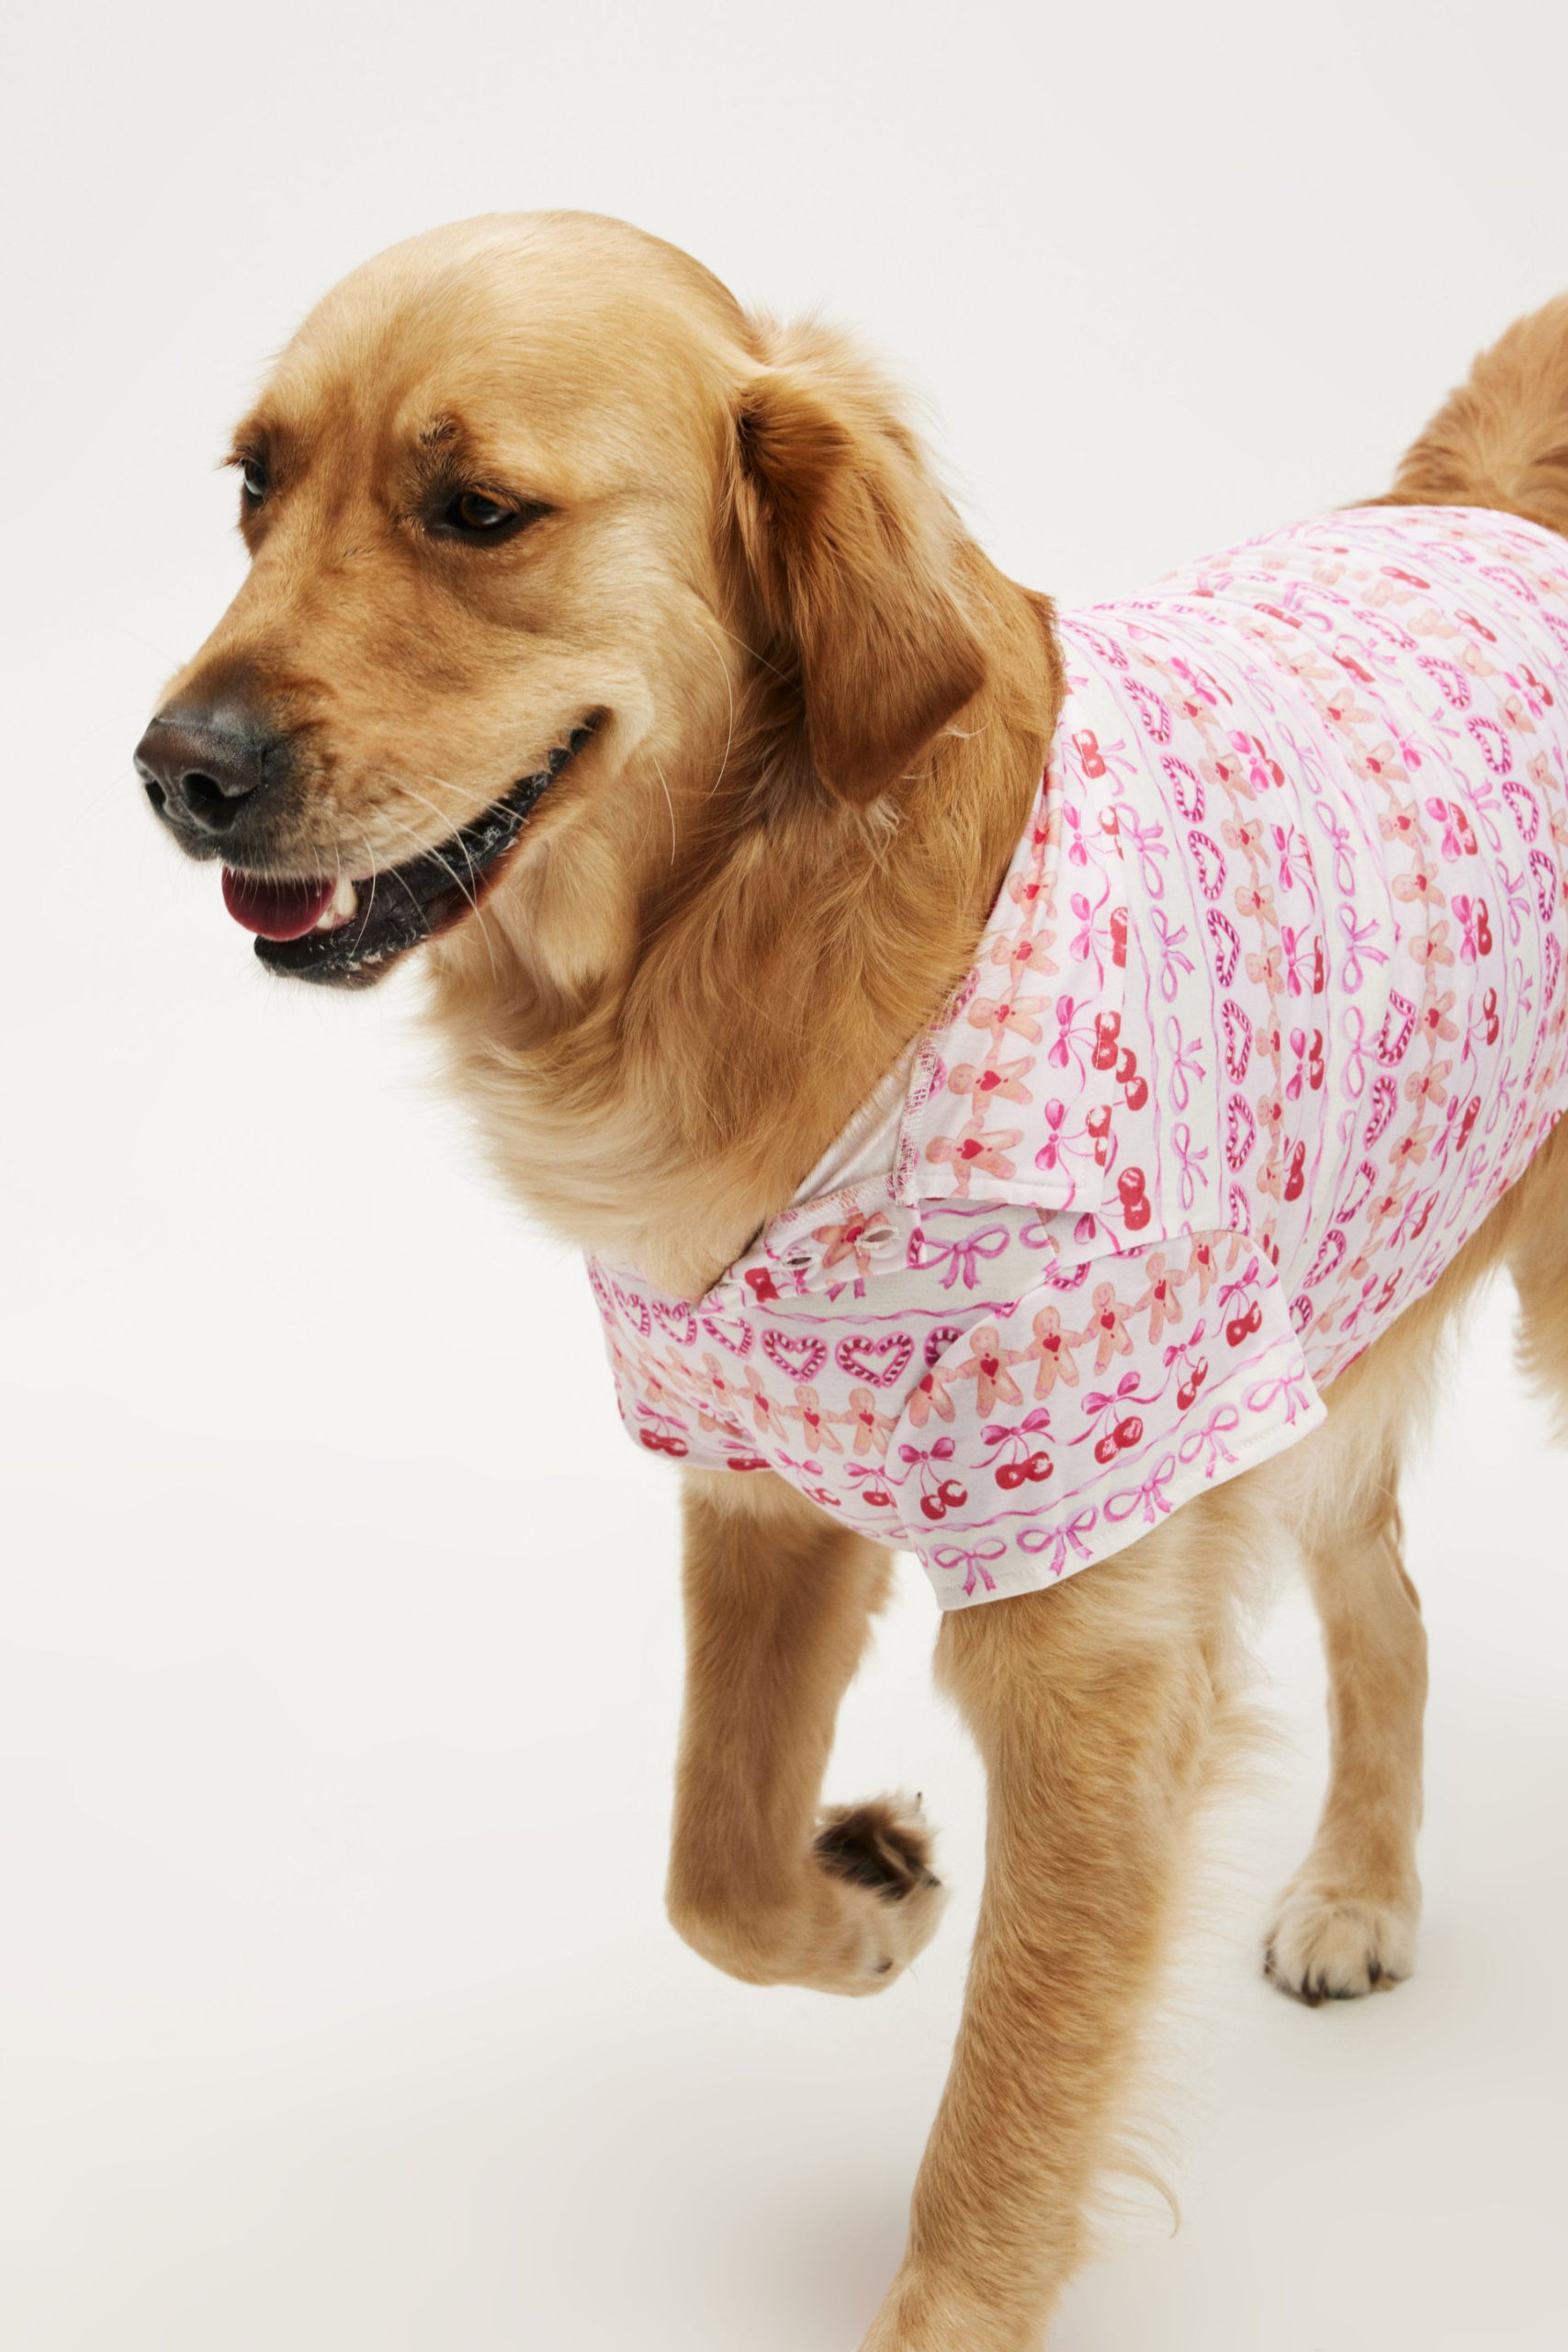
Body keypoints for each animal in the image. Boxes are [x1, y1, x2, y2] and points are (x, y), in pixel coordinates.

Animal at [134, 213, 1568, 2349]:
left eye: (476, 511)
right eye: (251, 483)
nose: (174, 768)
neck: (754, 934)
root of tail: (1484, 510)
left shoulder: (1089, 1628)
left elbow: (1009, 2104)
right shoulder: (759, 1486)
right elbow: (709, 1864)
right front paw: (868, 1893)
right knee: (1384, 1603)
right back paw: (1358, 1890)